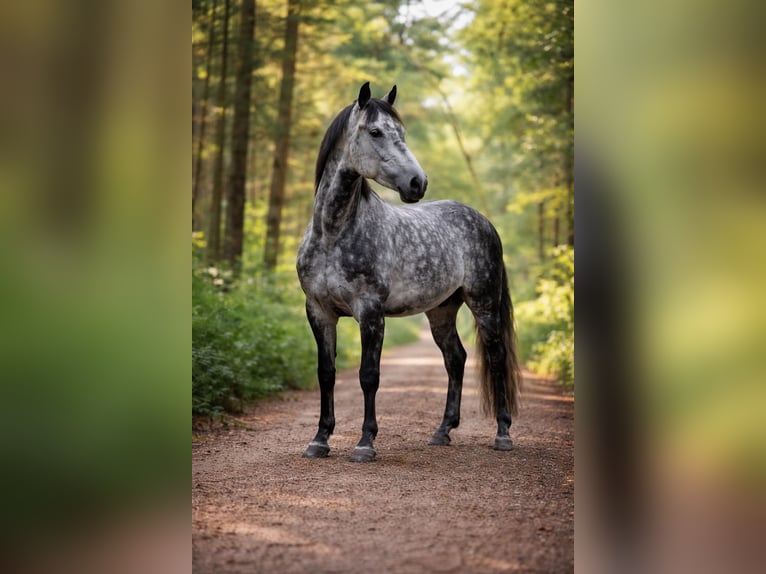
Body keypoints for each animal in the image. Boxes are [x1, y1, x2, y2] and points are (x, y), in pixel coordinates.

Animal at [297, 82, 520, 462]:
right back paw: (442, 431)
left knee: (495, 358)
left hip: (485, 304)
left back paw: (503, 433)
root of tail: (483, 221)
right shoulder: (319, 311)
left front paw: (365, 443)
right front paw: (320, 440)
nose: (418, 183)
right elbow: (326, 373)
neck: (333, 233)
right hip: (441, 310)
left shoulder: (370, 312)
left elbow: (369, 375)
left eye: (401, 133)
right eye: (375, 132)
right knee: (455, 359)